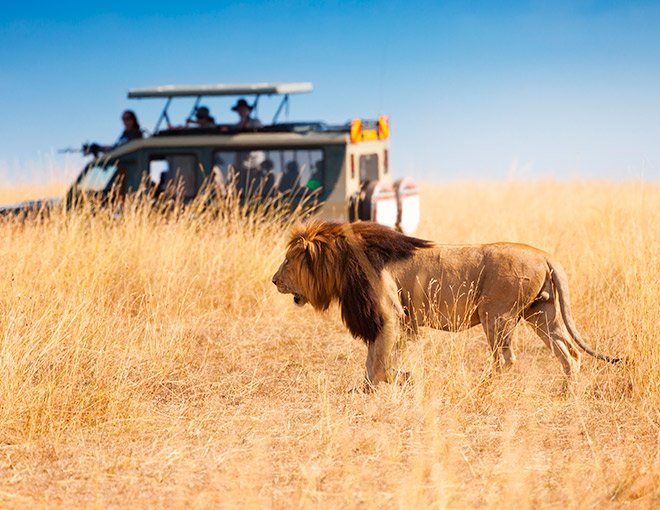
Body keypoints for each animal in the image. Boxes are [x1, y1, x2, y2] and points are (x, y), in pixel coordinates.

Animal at [272, 218, 620, 386]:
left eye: (288, 261)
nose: (274, 280)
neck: (343, 262)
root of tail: (545, 255)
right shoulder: (386, 319)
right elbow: (374, 359)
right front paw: (368, 387)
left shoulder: (390, 314)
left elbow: (380, 361)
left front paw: (396, 381)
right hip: (541, 313)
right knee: (570, 353)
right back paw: (566, 393)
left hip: (496, 314)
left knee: (506, 360)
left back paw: (485, 387)